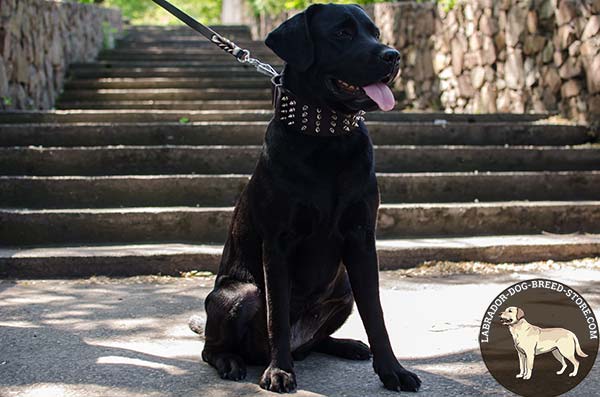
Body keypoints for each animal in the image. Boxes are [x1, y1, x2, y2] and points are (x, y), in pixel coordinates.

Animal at [193, 3, 422, 392]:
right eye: (342, 33)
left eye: (375, 32)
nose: (393, 56)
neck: (327, 136)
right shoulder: (277, 244)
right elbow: (278, 315)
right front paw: (279, 371)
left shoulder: (362, 238)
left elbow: (375, 313)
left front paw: (393, 370)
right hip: (240, 293)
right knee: (213, 348)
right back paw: (233, 361)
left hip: (343, 289)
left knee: (315, 342)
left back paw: (346, 345)